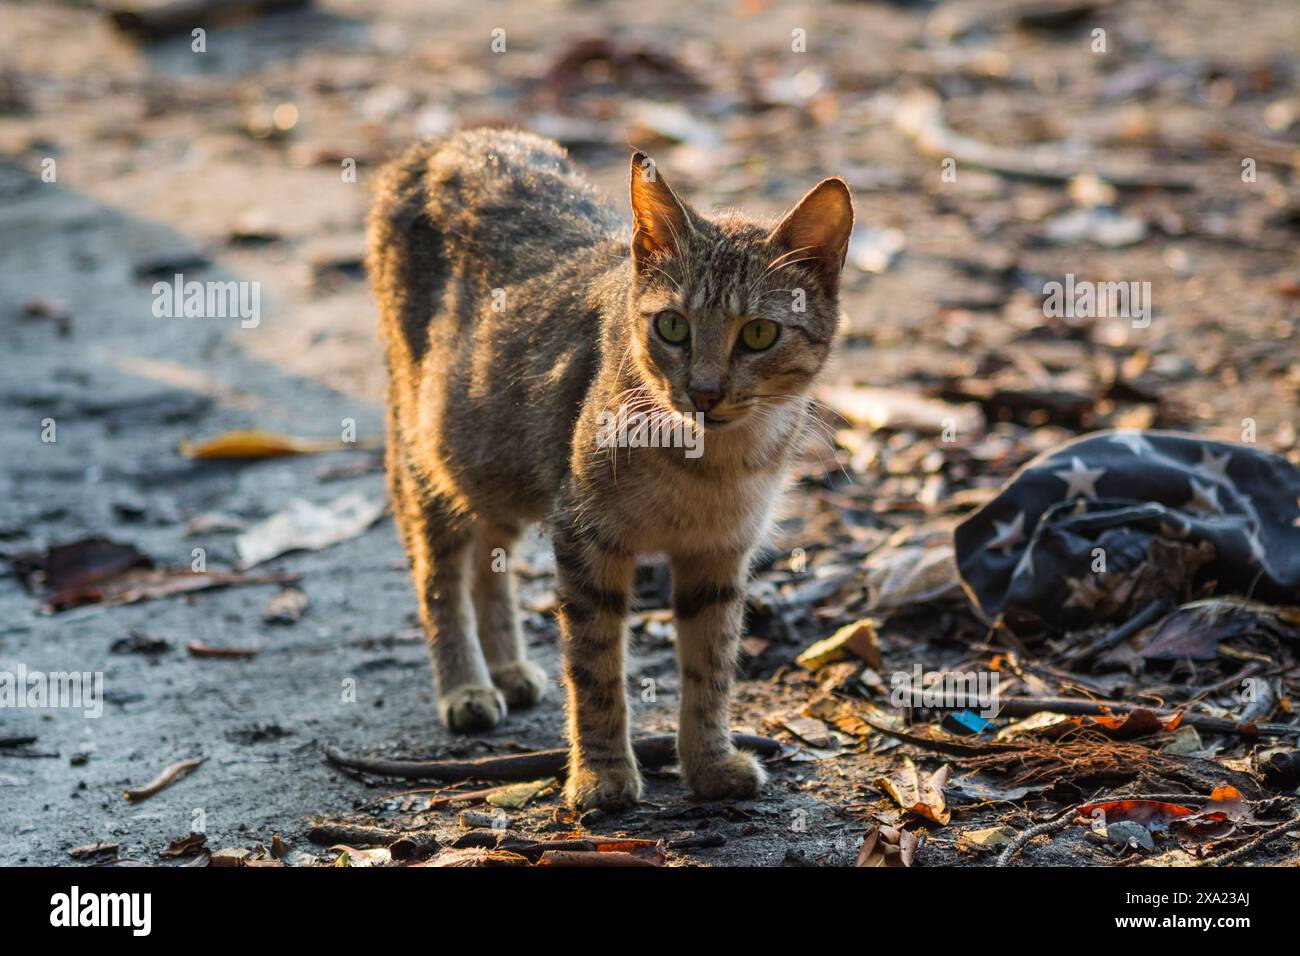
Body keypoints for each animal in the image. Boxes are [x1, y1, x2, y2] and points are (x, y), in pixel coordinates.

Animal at [366, 128, 852, 806]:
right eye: (672, 325)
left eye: (758, 334)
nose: (704, 392)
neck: (709, 468)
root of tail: (448, 139)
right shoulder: (585, 537)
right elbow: (594, 668)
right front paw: (601, 773)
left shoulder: (720, 553)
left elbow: (711, 667)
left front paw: (709, 762)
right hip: (432, 453)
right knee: (439, 573)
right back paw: (466, 684)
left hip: (502, 463)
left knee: (490, 553)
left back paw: (507, 666)